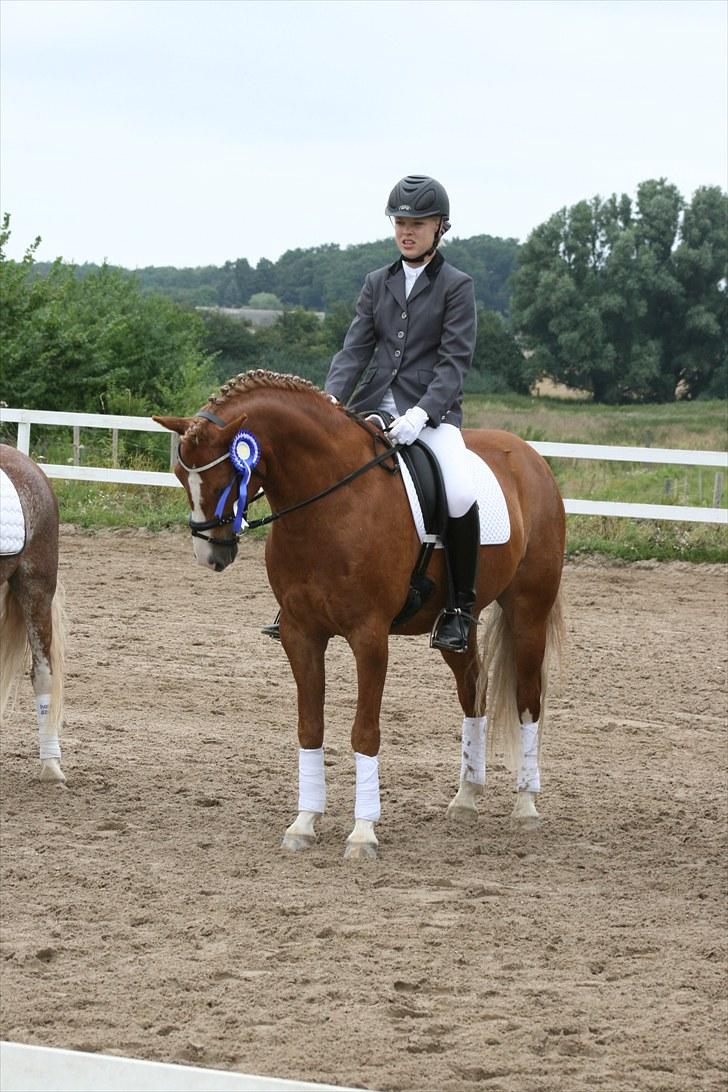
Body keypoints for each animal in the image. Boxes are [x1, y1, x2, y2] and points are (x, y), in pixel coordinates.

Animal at [154, 369, 566, 859]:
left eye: (228, 474)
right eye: (180, 474)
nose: (211, 554)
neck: (329, 505)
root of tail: (529, 455)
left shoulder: (369, 638)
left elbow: (364, 732)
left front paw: (363, 832)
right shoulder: (301, 634)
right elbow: (310, 728)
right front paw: (304, 823)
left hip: (528, 610)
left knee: (527, 700)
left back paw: (526, 806)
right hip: (456, 629)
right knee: (474, 693)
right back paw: (466, 797)